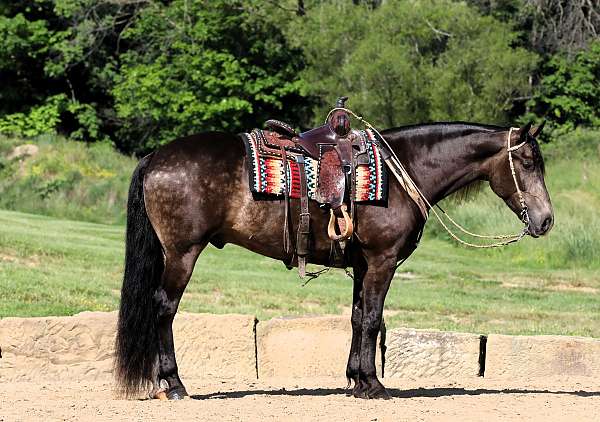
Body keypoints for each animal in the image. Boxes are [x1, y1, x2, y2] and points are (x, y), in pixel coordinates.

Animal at [113, 121, 552, 398]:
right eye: (528, 163)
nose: (546, 220)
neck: (403, 172)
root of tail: (156, 157)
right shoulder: (381, 262)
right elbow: (373, 319)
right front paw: (374, 386)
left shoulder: (362, 266)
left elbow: (358, 318)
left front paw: (355, 380)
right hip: (182, 253)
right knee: (164, 308)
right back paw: (174, 384)